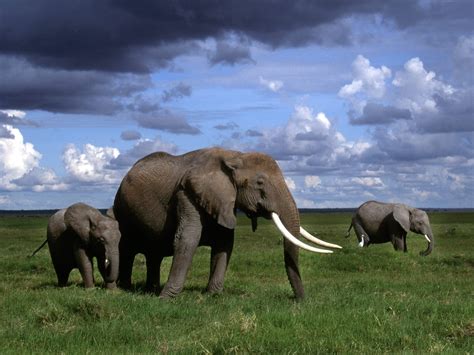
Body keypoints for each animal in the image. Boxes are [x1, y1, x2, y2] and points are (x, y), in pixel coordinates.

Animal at [114, 147, 340, 300]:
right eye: (260, 183)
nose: (301, 300)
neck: (235, 156)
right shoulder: (187, 193)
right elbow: (187, 239)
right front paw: (167, 298)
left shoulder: (221, 200)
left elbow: (224, 243)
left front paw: (213, 296)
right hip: (122, 209)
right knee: (127, 248)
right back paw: (124, 288)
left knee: (154, 254)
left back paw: (149, 289)